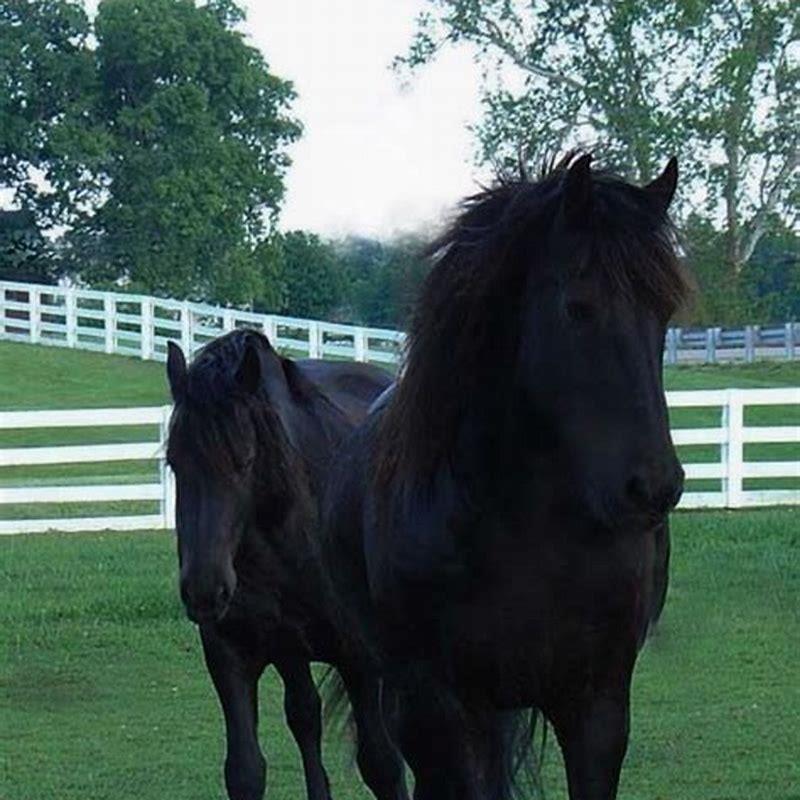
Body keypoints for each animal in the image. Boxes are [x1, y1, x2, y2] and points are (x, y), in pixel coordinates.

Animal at [164, 330, 407, 800]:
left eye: (244, 460)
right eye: (173, 462)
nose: (204, 590)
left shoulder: (359, 658)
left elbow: (382, 764)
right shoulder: (230, 653)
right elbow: (245, 770)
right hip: (290, 651)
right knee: (305, 717)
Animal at [322, 153, 689, 800]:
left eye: (663, 312)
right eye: (578, 306)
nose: (653, 487)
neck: (527, 529)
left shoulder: (597, 706)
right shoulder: (438, 710)